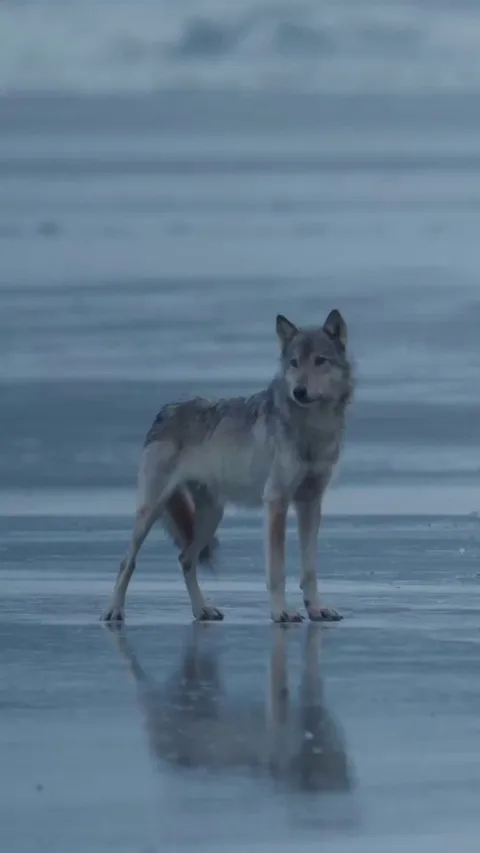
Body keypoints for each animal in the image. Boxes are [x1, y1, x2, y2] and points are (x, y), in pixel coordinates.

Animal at [102, 309, 354, 624]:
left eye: (320, 360)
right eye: (294, 363)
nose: (299, 391)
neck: (313, 428)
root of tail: (165, 410)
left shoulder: (310, 502)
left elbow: (309, 569)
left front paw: (316, 608)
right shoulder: (276, 501)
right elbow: (277, 570)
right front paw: (281, 611)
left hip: (212, 516)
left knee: (185, 559)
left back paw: (202, 609)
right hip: (152, 511)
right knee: (128, 560)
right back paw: (114, 610)